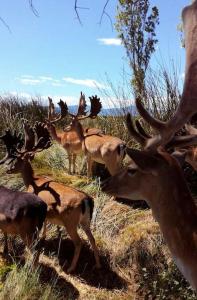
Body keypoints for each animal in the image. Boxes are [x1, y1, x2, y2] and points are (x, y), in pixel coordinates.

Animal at [0, 120, 100, 274]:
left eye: (16, 160)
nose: (7, 169)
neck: (32, 181)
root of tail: (86, 200)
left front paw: (42, 237)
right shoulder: (46, 212)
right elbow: (46, 222)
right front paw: (44, 236)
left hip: (70, 221)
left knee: (79, 242)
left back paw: (70, 268)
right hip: (85, 221)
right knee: (92, 238)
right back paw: (97, 265)